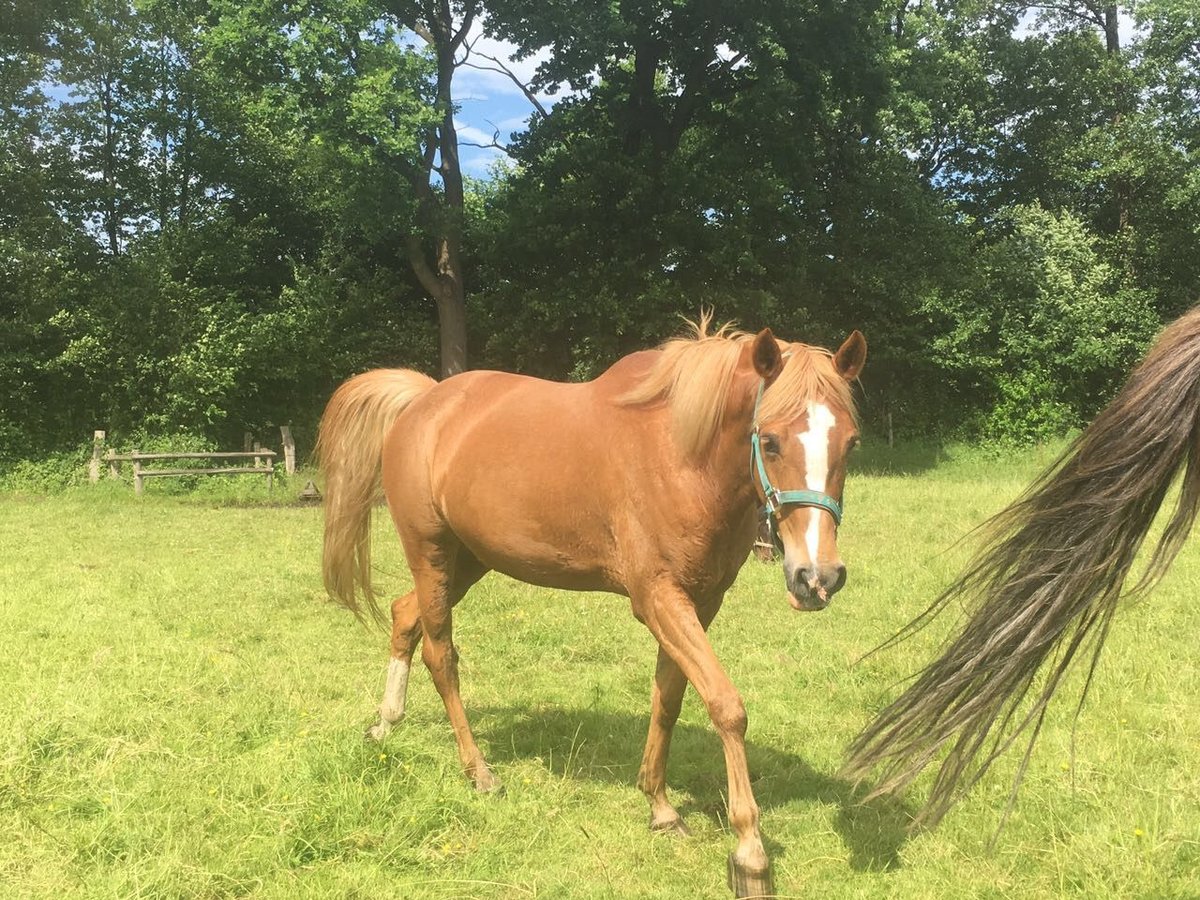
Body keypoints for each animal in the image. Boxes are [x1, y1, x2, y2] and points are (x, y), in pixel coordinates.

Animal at [316, 321, 864, 897]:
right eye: (772, 440)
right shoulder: (659, 599)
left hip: (468, 561)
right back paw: (478, 771)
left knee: (404, 617)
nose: (817, 577)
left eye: (851, 442)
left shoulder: (700, 601)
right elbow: (725, 706)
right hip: (432, 554)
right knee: (441, 656)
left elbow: (668, 699)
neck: (679, 453)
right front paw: (750, 852)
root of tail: (424, 401)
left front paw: (660, 807)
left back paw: (385, 724)